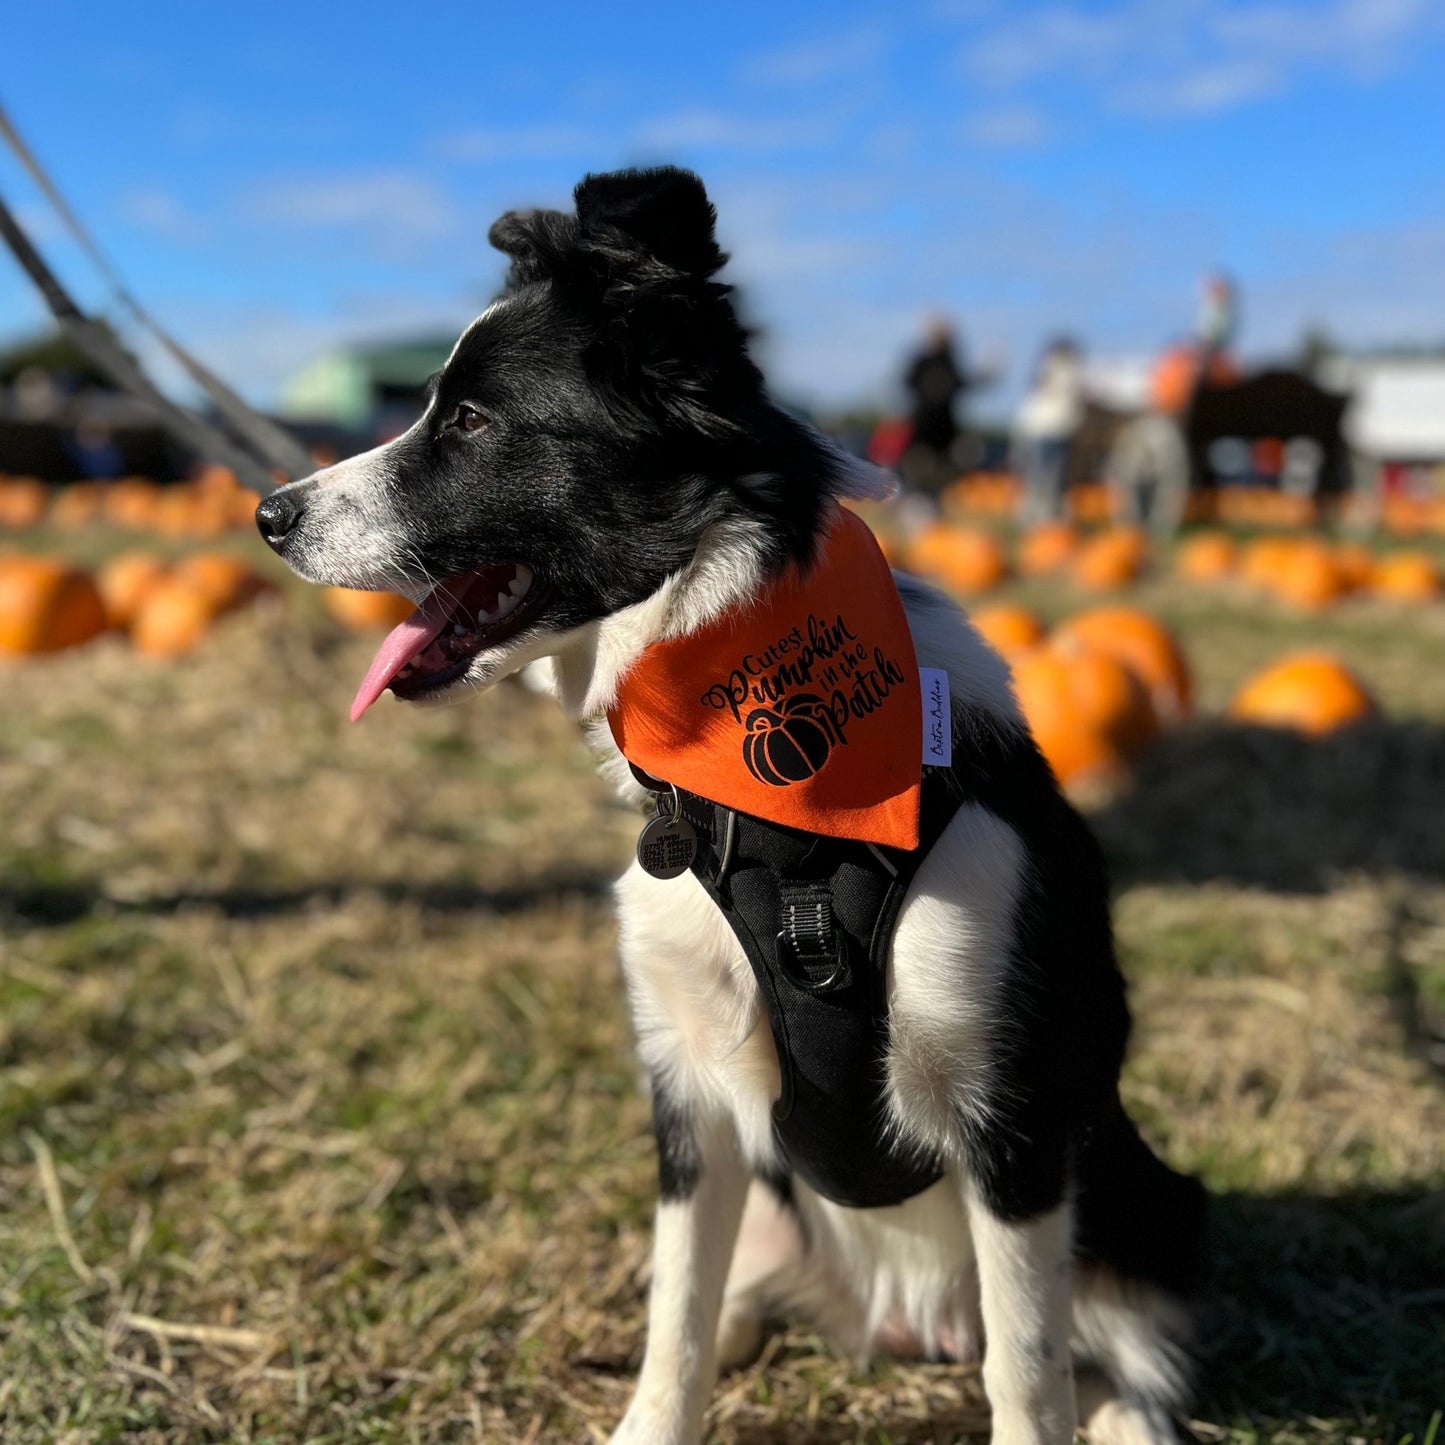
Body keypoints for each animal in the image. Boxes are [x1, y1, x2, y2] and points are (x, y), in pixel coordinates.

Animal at [260, 164, 1208, 1439]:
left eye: (470, 422)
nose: (267, 514)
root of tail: (914, 1323)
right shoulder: (690, 1097)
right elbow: (677, 1315)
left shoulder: (1011, 1111)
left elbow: (1026, 1367)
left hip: (1143, 1201)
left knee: (1105, 1360)